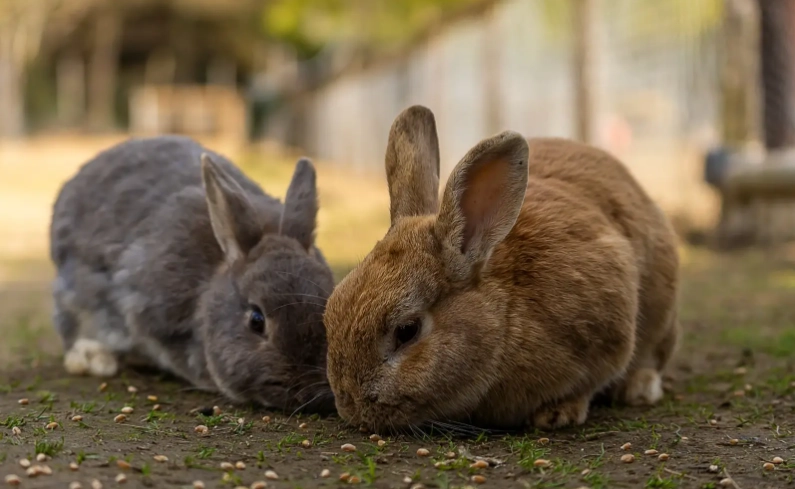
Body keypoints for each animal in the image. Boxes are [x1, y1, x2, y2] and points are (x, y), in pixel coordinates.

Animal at [323, 105, 680, 431]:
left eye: (407, 331)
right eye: (330, 313)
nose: (350, 406)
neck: (505, 312)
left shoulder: (610, 325)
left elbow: (596, 376)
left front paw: (558, 412)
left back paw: (639, 389)